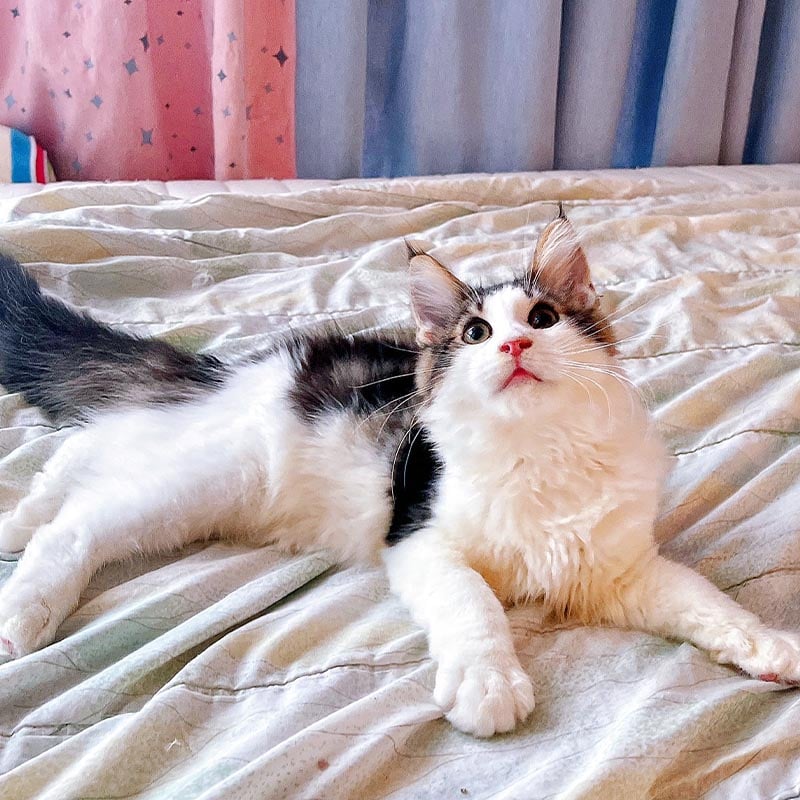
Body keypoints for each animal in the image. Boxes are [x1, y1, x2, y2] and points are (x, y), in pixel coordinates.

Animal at [0, 212, 798, 739]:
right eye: (475, 333)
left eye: (542, 317)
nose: (512, 345)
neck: (539, 453)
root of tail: (239, 370)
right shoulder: (418, 537)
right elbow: (475, 604)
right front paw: (488, 683)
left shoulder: (618, 571)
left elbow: (705, 600)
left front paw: (767, 644)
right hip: (208, 480)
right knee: (78, 520)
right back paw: (21, 612)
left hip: (187, 479)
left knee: (84, 455)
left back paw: (18, 518)